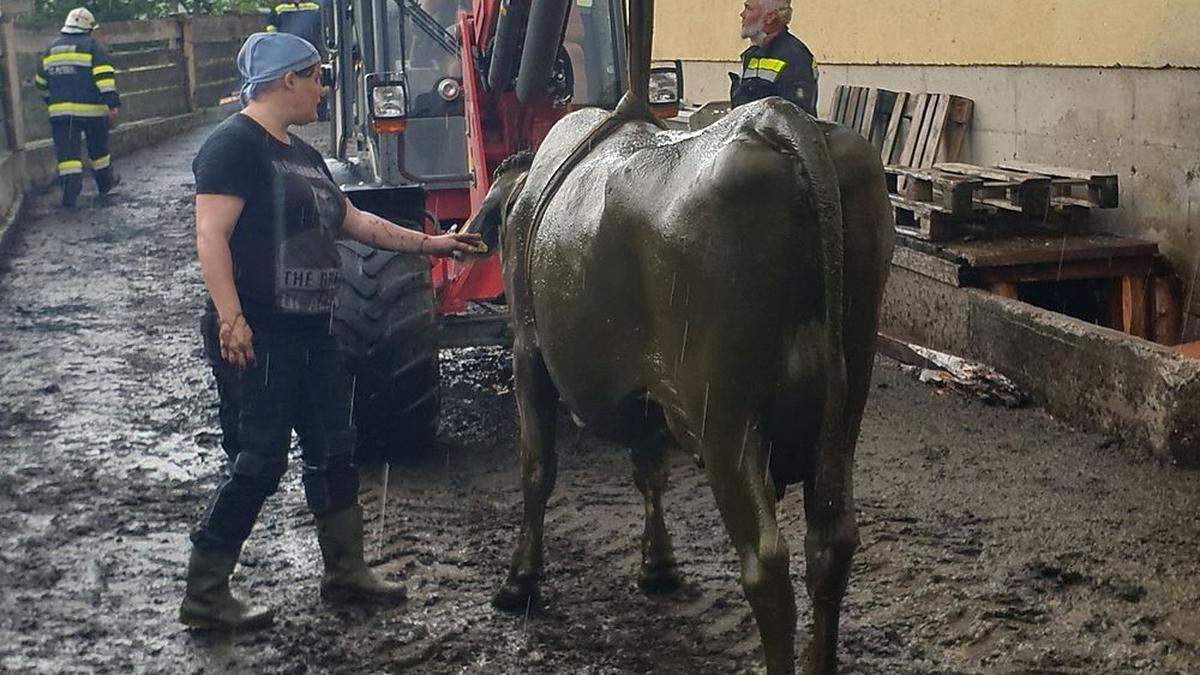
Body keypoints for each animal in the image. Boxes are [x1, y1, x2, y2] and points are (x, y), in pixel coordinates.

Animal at [463, 94, 897, 672]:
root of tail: (775, 116)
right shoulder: (649, 390)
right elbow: (649, 469)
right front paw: (659, 565)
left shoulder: (528, 353)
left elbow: (537, 468)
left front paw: (519, 583)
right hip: (843, 411)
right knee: (831, 544)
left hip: (728, 419)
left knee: (766, 563)